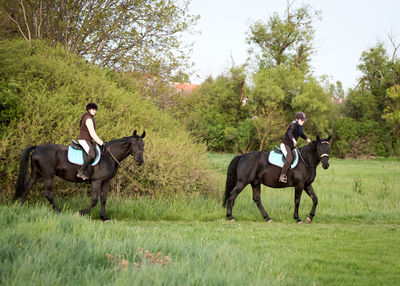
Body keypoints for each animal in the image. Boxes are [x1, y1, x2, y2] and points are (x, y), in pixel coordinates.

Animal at [14, 131, 145, 220]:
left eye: (143, 145)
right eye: (133, 143)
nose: (140, 161)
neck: (108, 156)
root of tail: (37, 147)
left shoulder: (106, 181)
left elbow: (103, 199)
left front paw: (103, 217)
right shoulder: (96, 181)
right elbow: (94, 200)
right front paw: (81, 213)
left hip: (36, 174)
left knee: (27, 188)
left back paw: (20, 207)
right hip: (48, 176)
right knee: (48, 193)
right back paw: (58, 211)